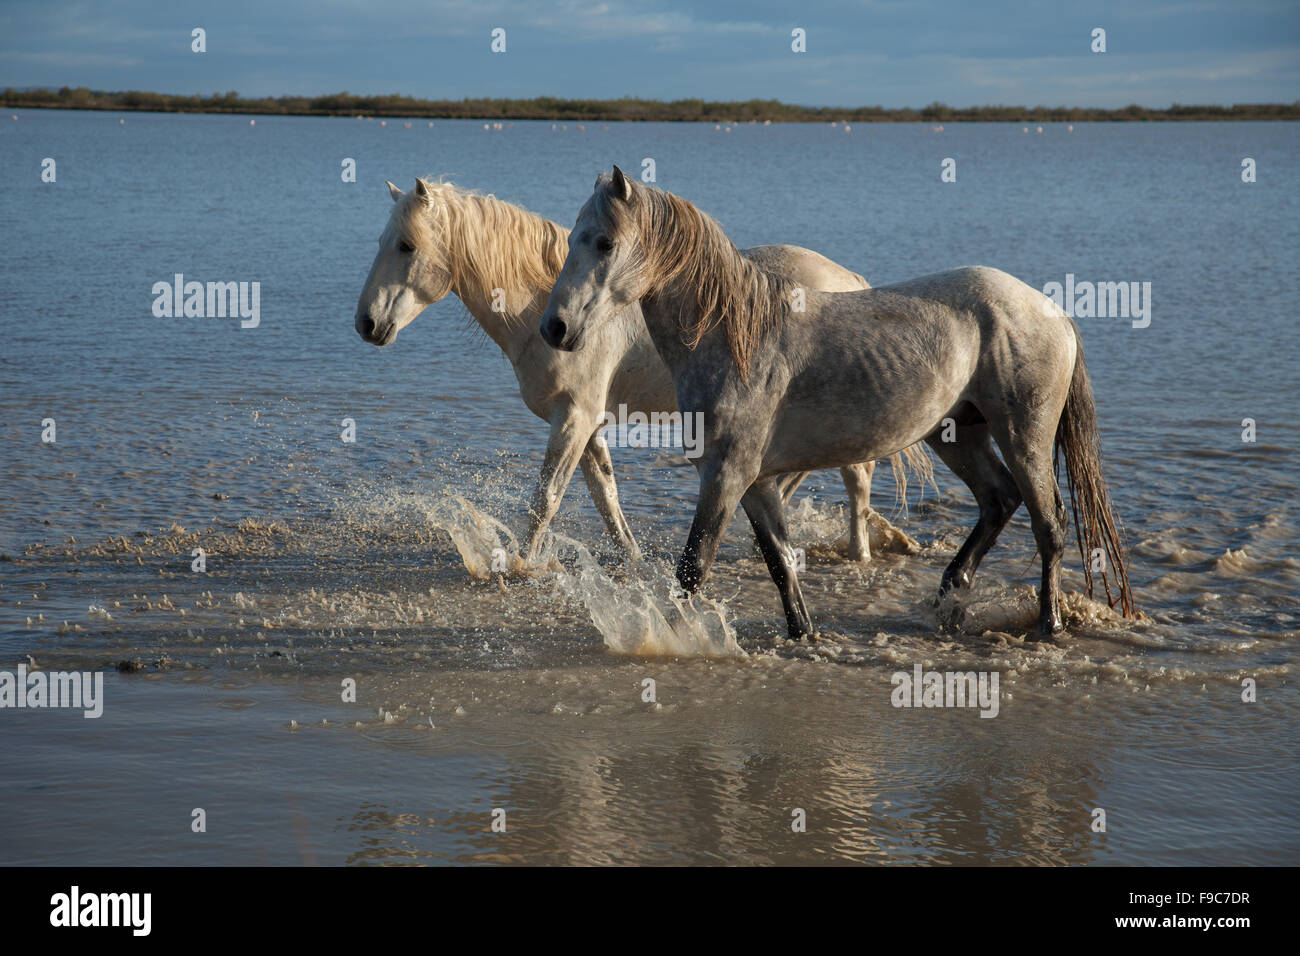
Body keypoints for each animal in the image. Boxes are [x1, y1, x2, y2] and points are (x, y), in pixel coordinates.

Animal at [351, 178, 930, 564]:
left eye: (406, 245)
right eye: (380, 241)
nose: (366, 324)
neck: (544, 307)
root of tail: (851, 282)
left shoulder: (574, 419)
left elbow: (546, 499)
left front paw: (520, 565)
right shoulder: (587, 423)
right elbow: (604, 496)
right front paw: (629, 556)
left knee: (857, 477)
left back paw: (857, 553)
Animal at [543, 167, 1133, 639]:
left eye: (604, 243)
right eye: (575, 238)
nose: (555, 327)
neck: (735, 338)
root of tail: (1051, 309)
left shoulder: (725, 476)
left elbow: (694, 567)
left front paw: (669, 636)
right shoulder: (753, 483)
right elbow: (780, 561)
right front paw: (802, 634)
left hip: (1024, 435)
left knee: (1049, 524)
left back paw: (1047, 624)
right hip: (957, 434)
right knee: (997, 501)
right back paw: (949, 598)